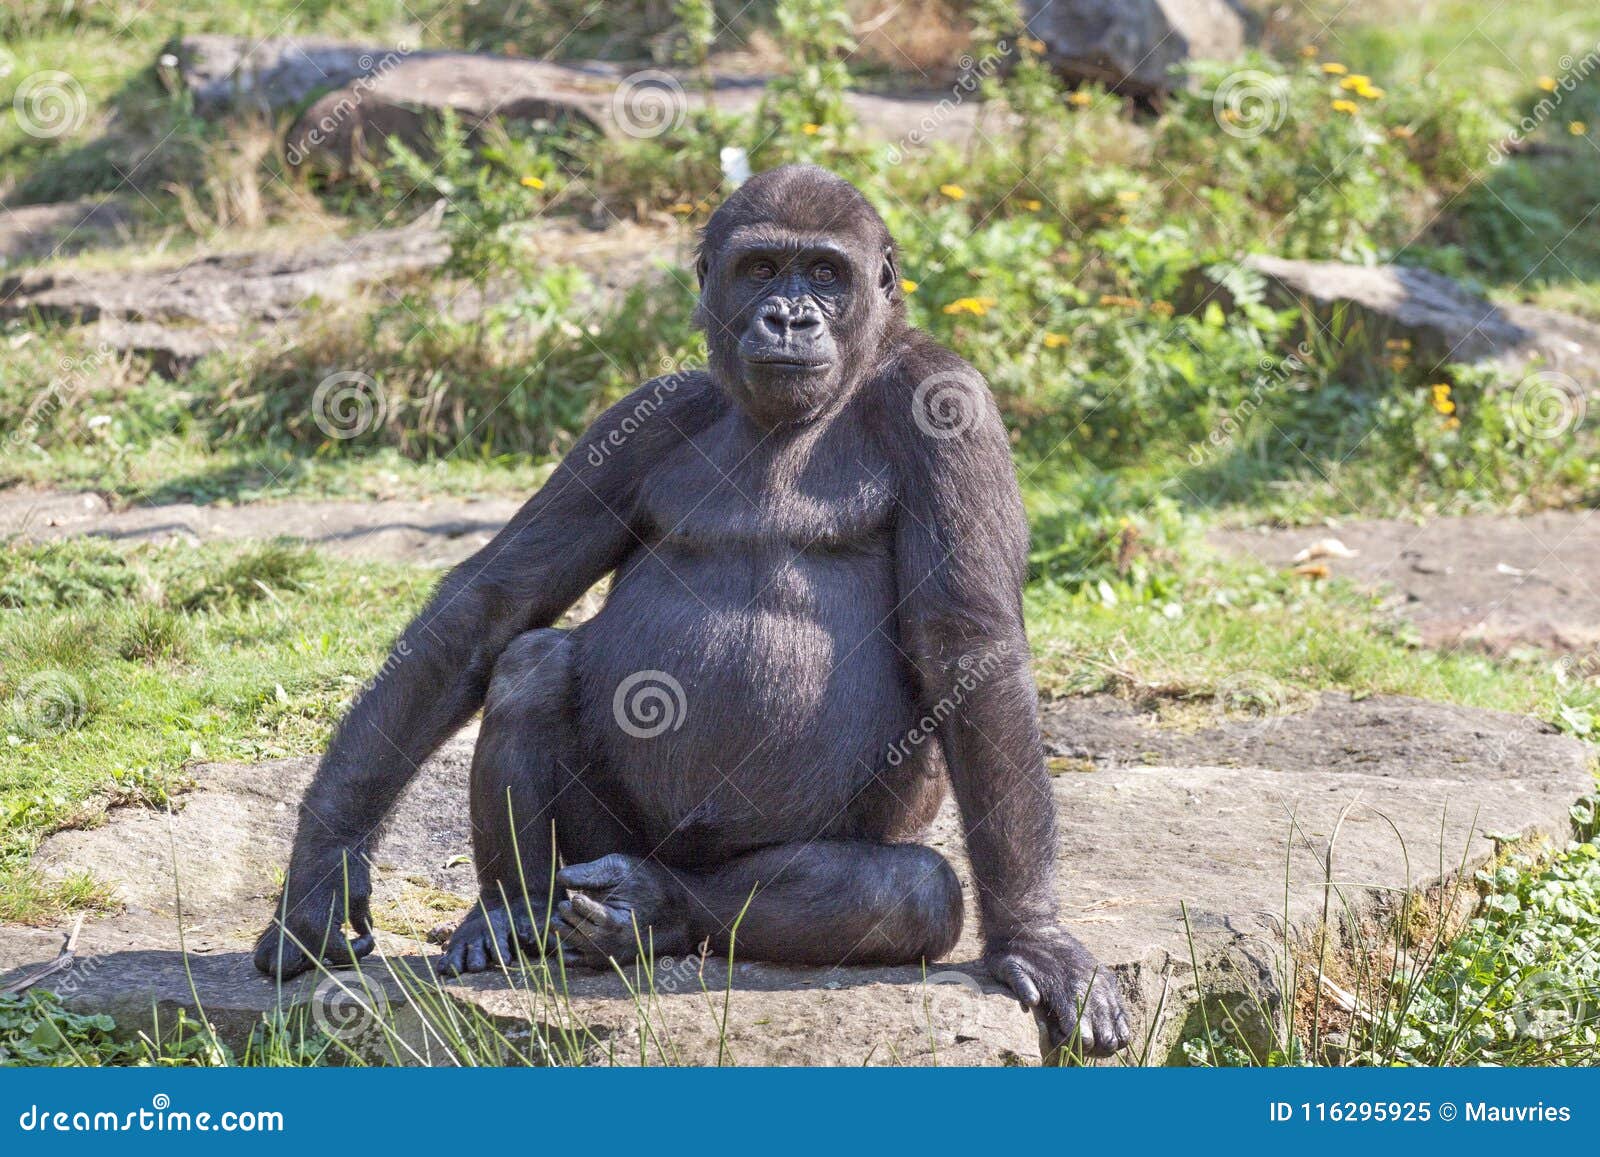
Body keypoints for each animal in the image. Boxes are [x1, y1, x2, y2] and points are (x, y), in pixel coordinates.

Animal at [254, 164, 1131, 1057]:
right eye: (760, 269)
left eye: (825, 272)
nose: (789, 317)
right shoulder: (641, 416)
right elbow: (493, 601)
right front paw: (321, 873)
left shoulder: (950, 400)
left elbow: (967, 642)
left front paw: (1033, 936)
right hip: (601, 845)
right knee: (533, 664)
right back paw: (511, 913)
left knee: (907, 890)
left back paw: (652, 908)